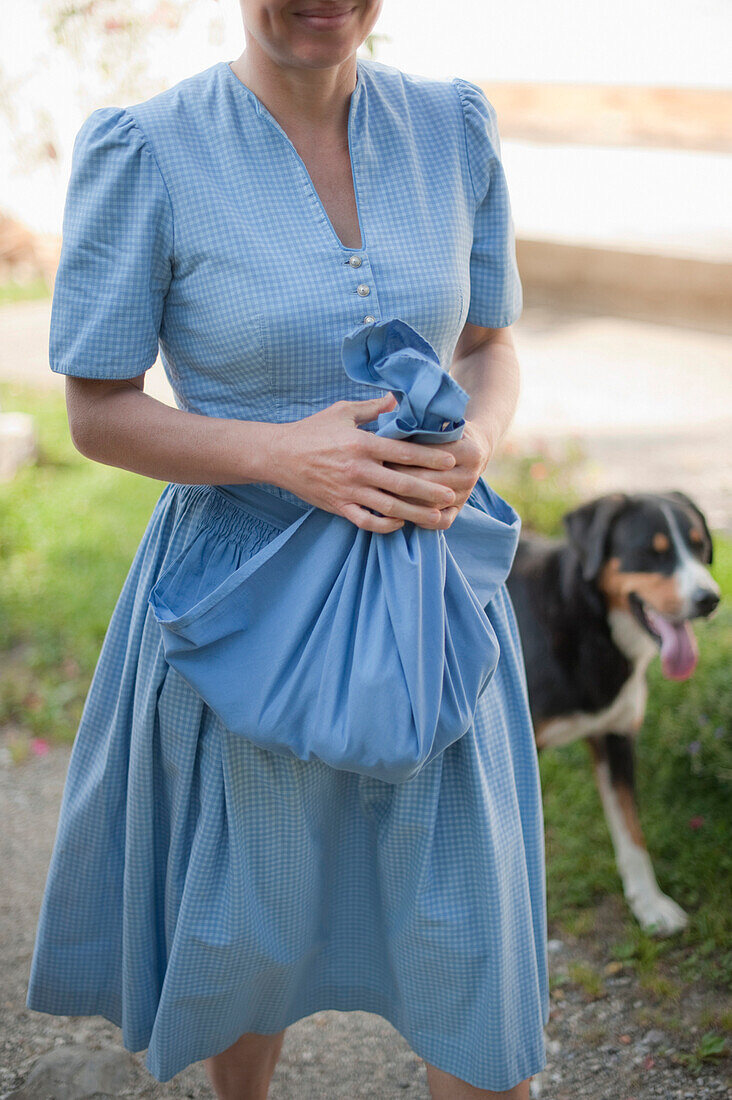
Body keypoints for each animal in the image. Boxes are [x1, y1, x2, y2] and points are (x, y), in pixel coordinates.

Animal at [501, 495, 717, 932]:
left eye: (699, 546)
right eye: (652, 553)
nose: (710, 598)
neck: (592, 629)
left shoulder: (615, 737)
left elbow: (631, 832)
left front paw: (649, 904)